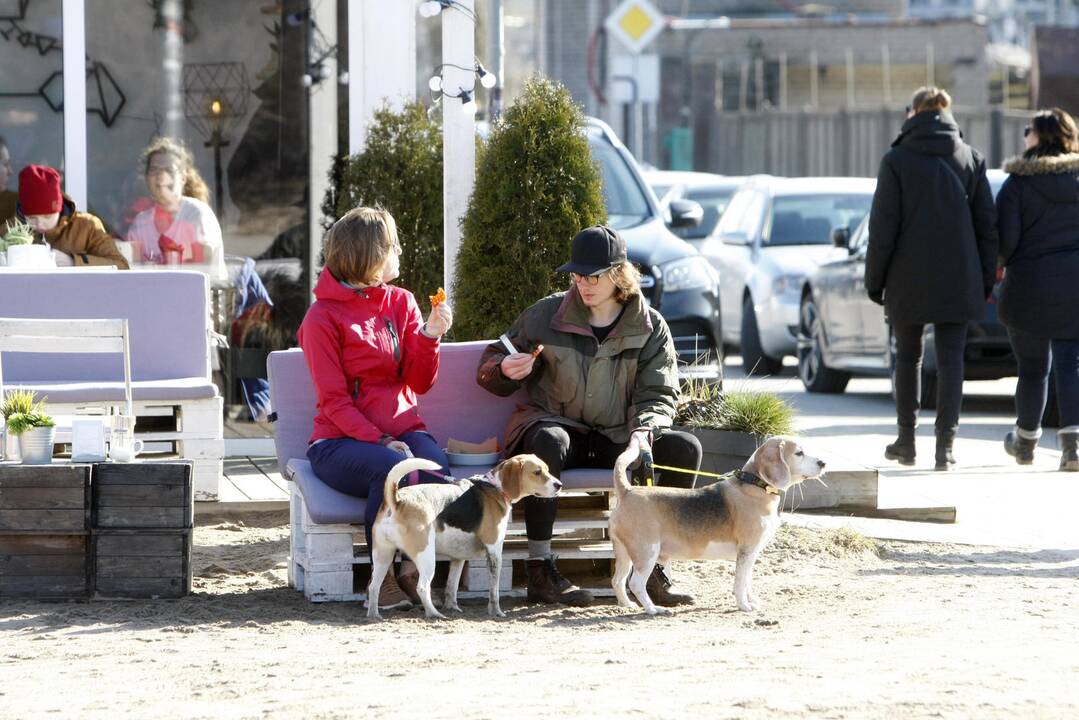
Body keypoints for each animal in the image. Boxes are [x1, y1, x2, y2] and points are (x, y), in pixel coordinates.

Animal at [369, 455, 561, 621]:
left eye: (547, 469)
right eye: (537, 472)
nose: (559, 485)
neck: (495, 487)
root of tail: (396, 499)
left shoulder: (458, 557)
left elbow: (451, 587)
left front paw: (453, 608)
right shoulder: (494, 551)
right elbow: (494, 591)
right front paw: (496, 612)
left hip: (383, 557)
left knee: (373, 587)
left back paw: (374, 615)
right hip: (426, 556)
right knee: (422, 588)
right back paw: (434, 614)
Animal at [608, 436, 824, 617]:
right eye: (799, 453)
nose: (823, 463)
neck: (755, 485)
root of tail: (628, 491)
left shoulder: (752, 554)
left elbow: (747, 580)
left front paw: (751, 600)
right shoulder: (746, 550)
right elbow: (740, 583)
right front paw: (744, 605)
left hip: (625, 553)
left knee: (617, 580)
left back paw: (627, 604)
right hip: (647, 552)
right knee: (636, 583)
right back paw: (653, 609)